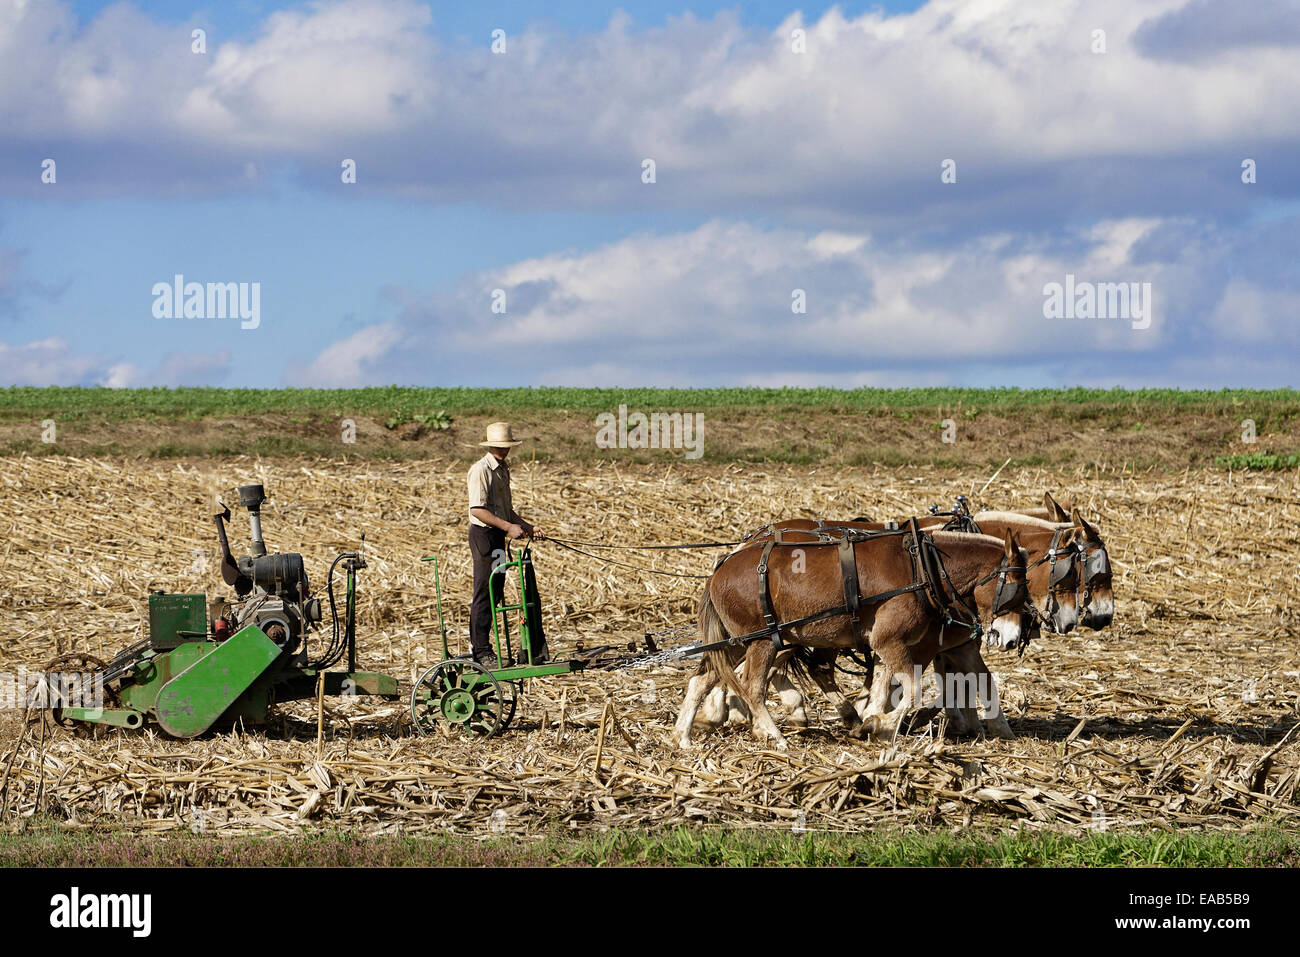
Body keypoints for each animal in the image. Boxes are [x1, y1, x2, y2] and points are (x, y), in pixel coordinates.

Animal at [676, 527, 1029, 748]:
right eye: (1016, 587)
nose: (1009, 637)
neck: (923, 569)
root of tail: (720, 569)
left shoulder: (893, 645)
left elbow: (885, 686)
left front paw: (873, 722)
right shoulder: (891, 641)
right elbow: (912, 689)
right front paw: (880, 724)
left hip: (737, 642)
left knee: (703, 679)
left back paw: (683, 737)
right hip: (760, 641)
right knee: (751, 686)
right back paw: (775, 736)